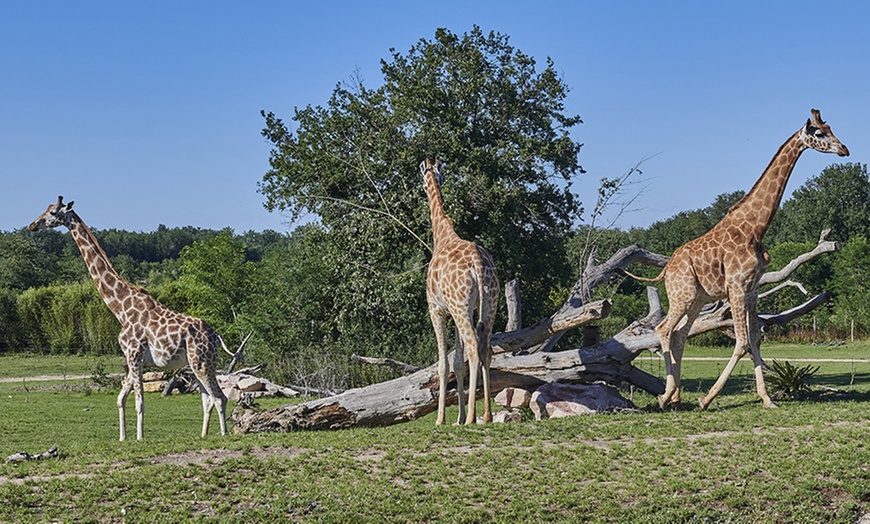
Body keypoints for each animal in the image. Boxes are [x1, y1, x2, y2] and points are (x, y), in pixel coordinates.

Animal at [28, 199, 238, 440]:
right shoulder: (132, 358)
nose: (32, 225)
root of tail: (217, 337)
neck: (121, 309)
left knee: (219, 397)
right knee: (207, 400)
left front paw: (139, 438)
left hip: (202, 362)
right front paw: (122, 437)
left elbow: (139, 403)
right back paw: (203, 435)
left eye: (53, 212)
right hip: (197, 363)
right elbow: (120, 399)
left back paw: (223, 435)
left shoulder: (134, 355)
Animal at [424, 158, 500, 424]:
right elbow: (457, 362)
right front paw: (458, 416)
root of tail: (477, 264)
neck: (442, 235)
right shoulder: (455, 311)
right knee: (486, 348)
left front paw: (442, 420)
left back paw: (472, 419)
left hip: (460, 307)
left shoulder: (437, 309)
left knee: (474, 349)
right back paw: (486, 415)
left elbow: (443, 364)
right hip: (489, 304)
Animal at [628, 108, 852, 410]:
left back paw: (676, 398)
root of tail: (667, 269)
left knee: (679, 335)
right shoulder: (736, 285)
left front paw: (767, 399)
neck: (755, 227)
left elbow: (755, 340)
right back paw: (665, 395)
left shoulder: (752, 288)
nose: (844, 149)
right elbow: (742, 342)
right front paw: (706, 398)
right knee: (664, 329)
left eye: (831, 128)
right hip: (682, 294)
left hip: (697, 299)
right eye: (819, 132)